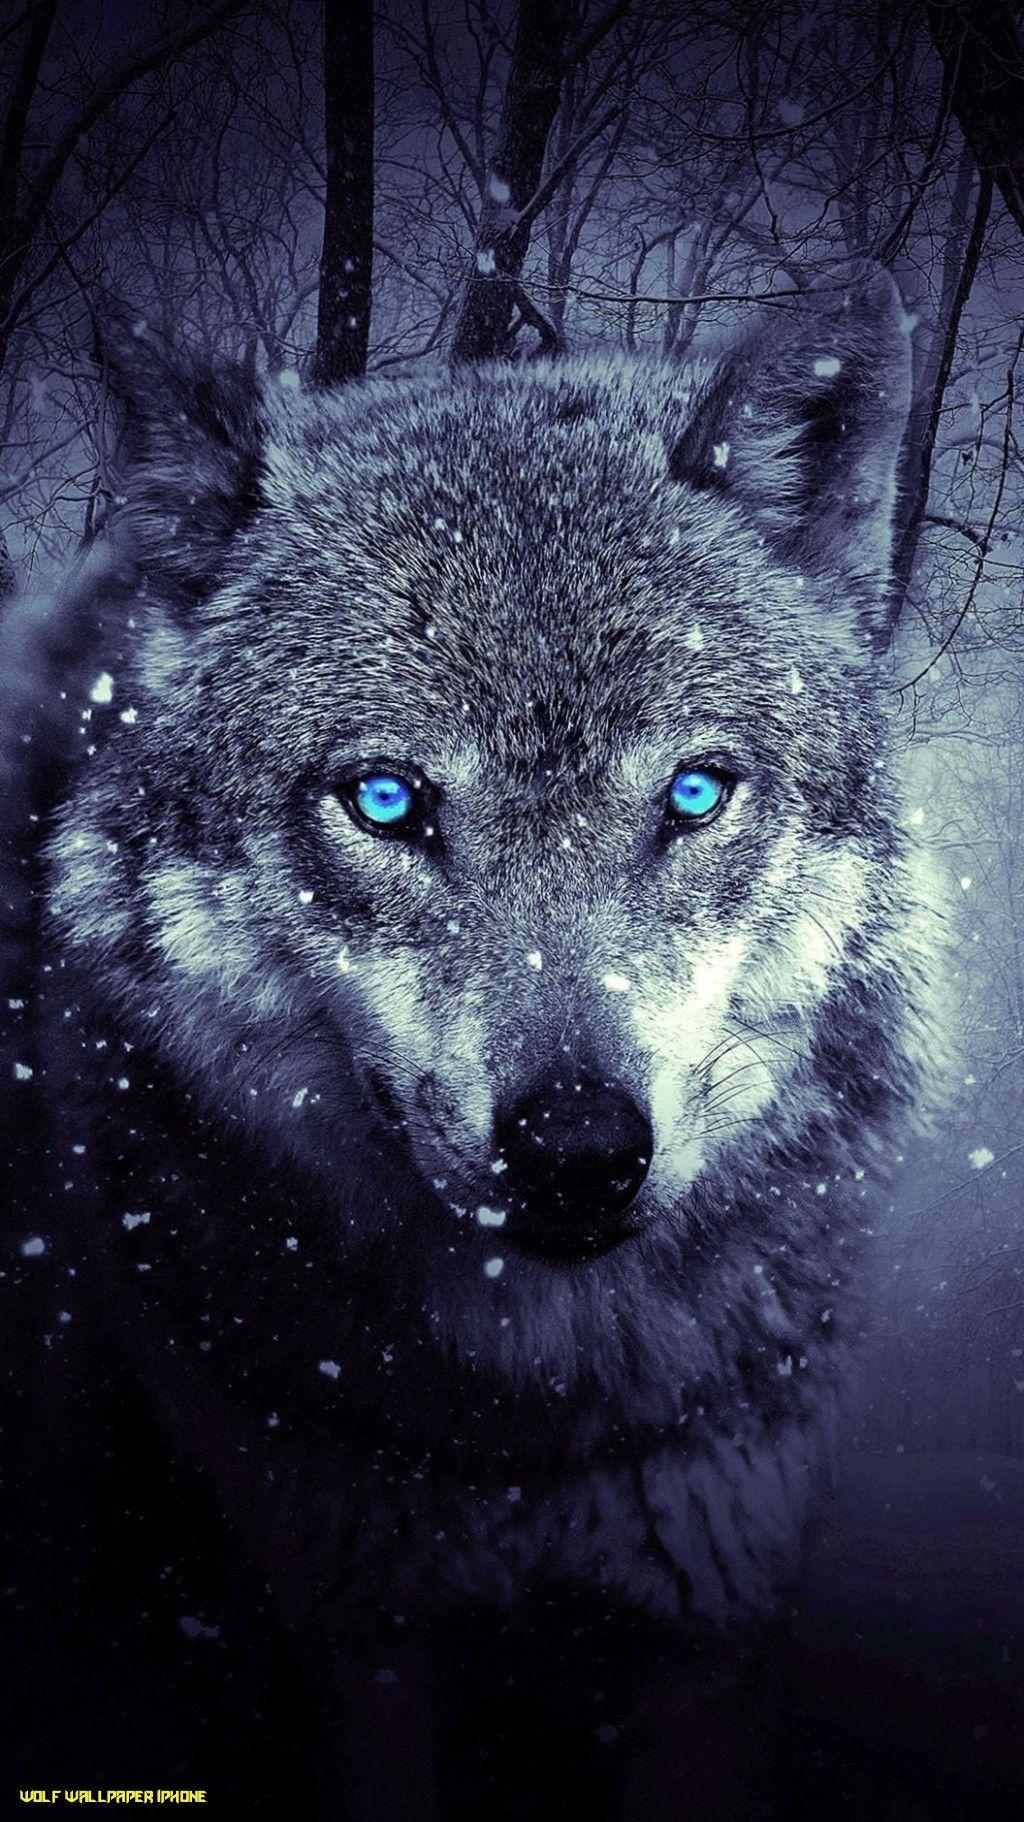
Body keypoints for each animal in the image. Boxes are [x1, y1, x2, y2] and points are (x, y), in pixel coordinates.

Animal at [1, 267, 945, 1817]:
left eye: (693, 792)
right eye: (386, 799)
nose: (575, 1150)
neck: (531, 1426)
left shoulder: (702, 1633)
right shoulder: (360, 1633)